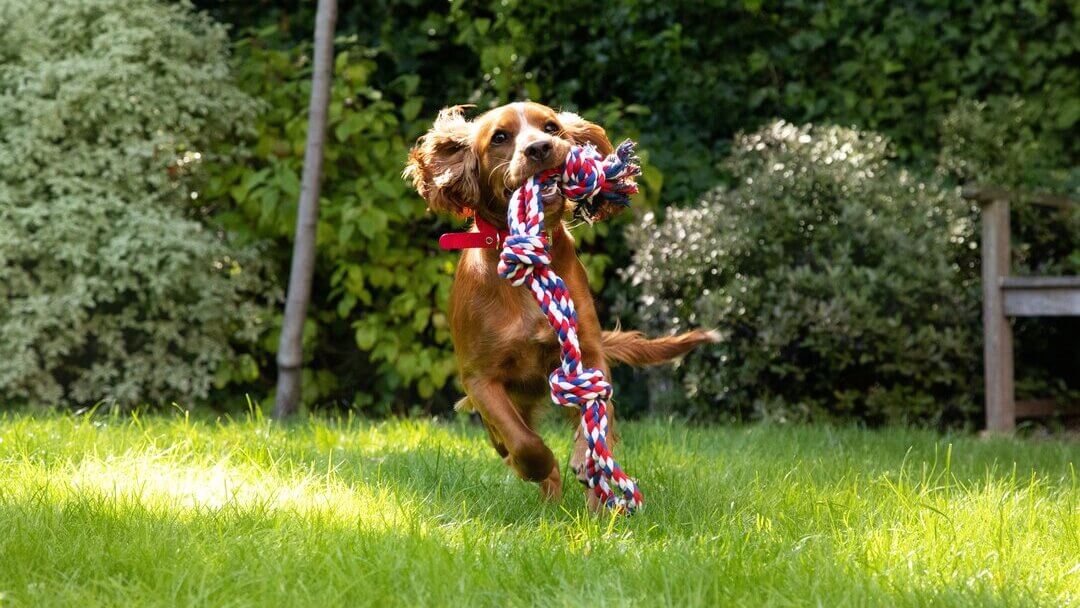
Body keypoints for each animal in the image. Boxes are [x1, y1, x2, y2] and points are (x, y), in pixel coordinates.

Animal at [406, 103, 717, 509]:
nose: (539, 148)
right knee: (509, 445)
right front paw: (541, 465)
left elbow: (595, 418)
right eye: (500, 137)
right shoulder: (479, 378)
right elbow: (524, 442)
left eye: (551, 127)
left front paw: (587, 461)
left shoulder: (587, 351)